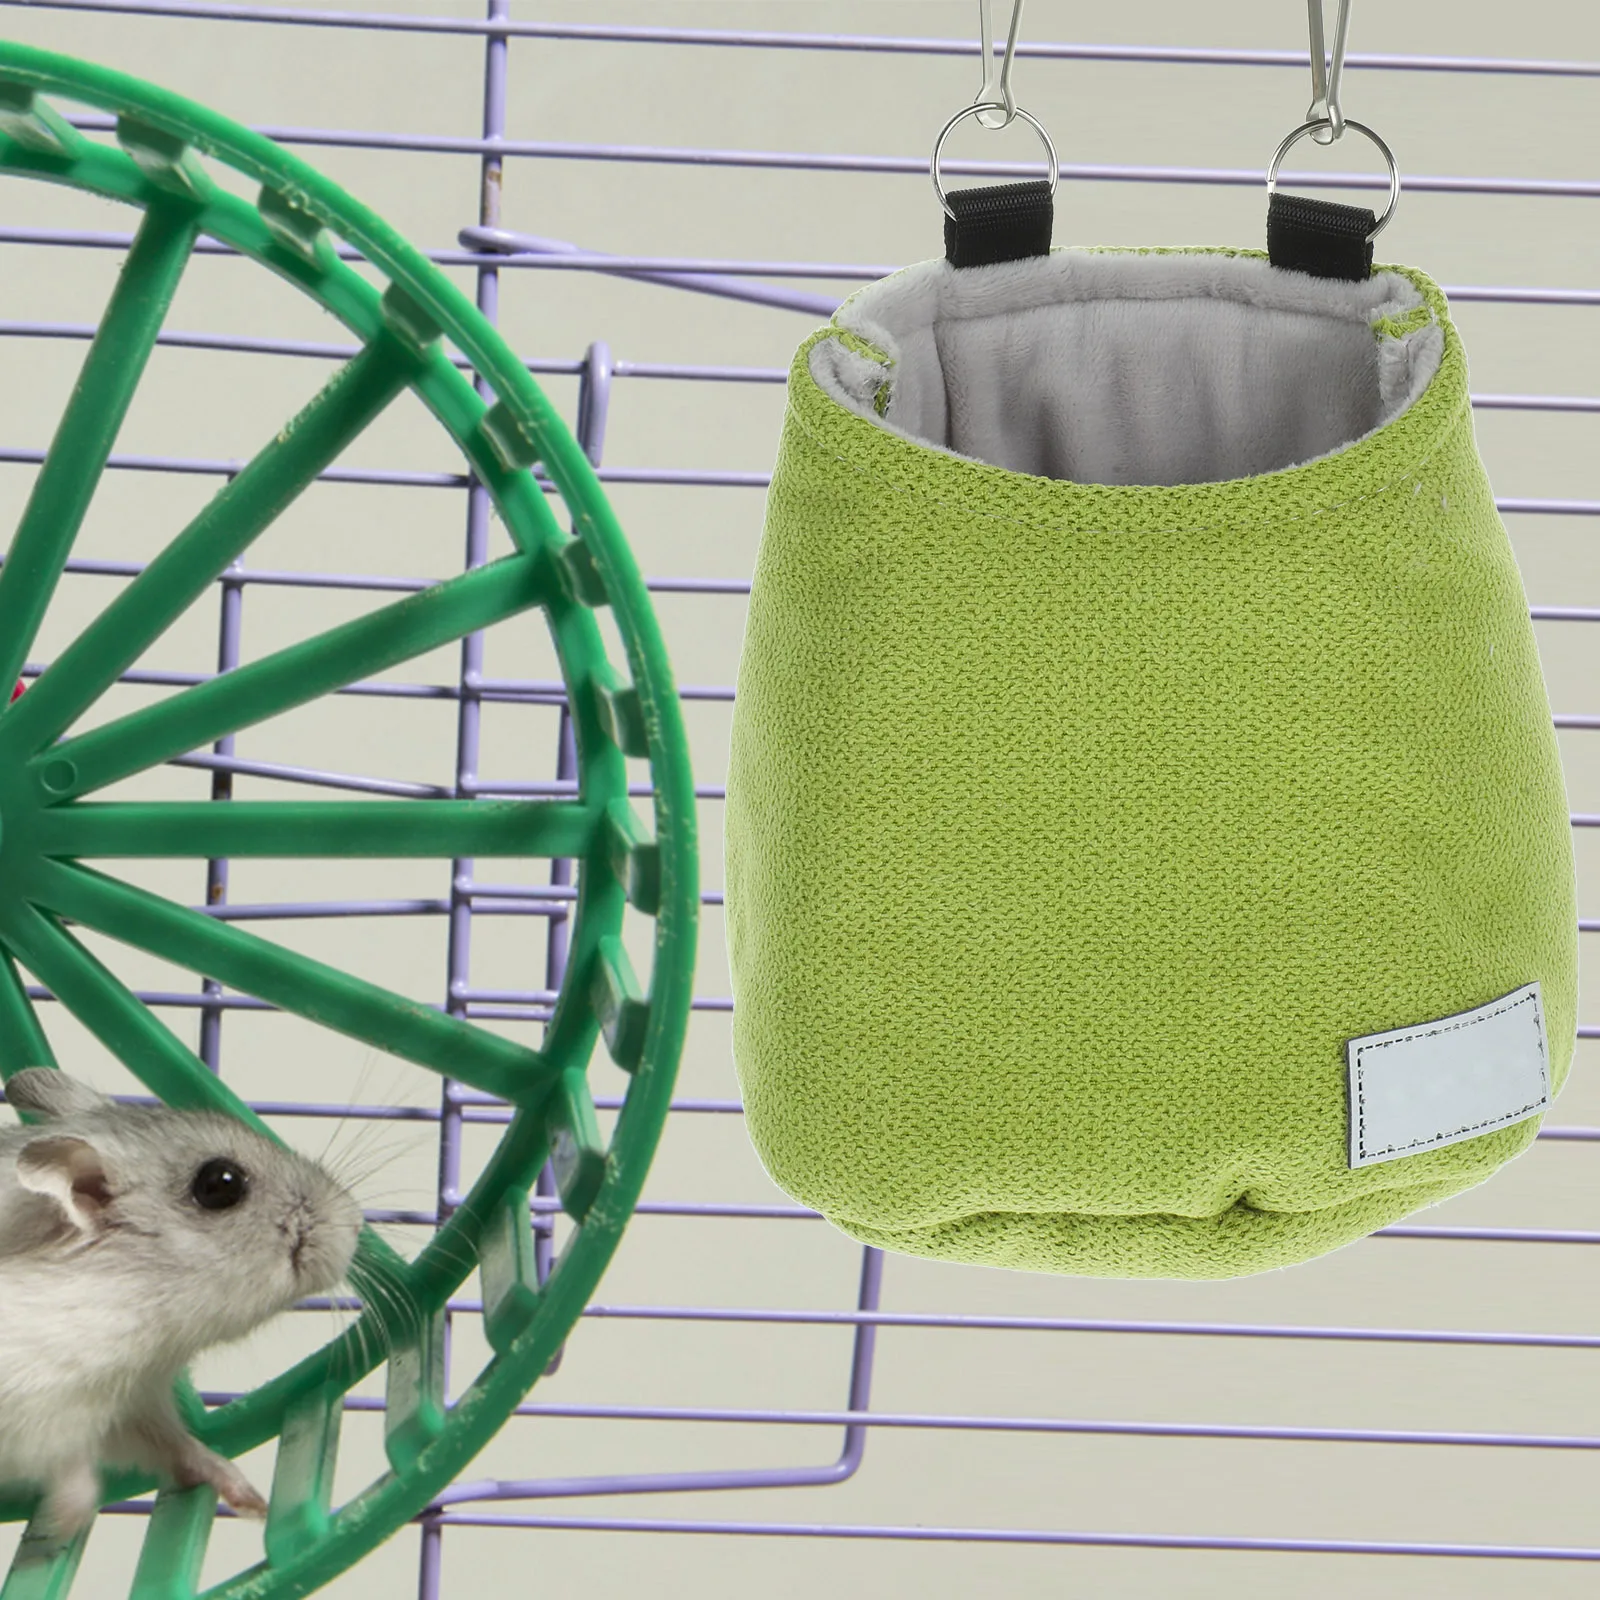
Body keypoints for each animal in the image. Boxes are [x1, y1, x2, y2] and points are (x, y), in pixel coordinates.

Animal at [0, 1068, 363, 1538]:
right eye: (221, 1183)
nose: (356, 1223)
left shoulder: (132, 1402)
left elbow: (177, 1446)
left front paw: (253, 1503)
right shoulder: (35, 1415)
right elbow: (70, 1471)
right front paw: (61, 1525)